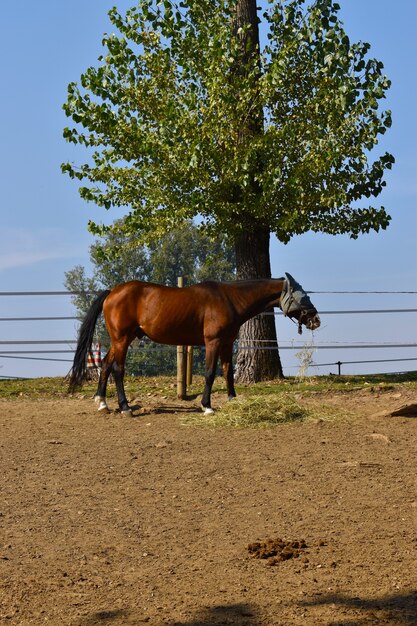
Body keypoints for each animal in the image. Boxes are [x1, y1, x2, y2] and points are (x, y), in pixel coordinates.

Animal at [70, 270, 320, 412]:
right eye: (301, 294)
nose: (315, 319)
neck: (230, 299)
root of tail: (112, 292)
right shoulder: (213, 342)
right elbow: (210, 373)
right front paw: (207, 405)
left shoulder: (227, 343)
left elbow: (228, 372)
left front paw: (232, 400)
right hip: (122, 339)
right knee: (118, 369)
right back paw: (124, 407)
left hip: (121, 339)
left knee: (105, 365)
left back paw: (103, 403)